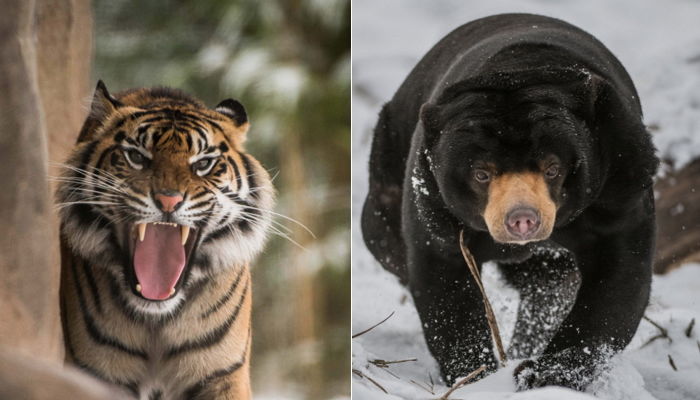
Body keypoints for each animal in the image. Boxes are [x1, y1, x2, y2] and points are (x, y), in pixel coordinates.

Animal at [56, 79, 274, 398]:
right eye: (137, 157)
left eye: (203, 163)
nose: (168, 200)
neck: (156, 316)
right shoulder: (97, 373)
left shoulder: (221, 373)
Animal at [364, 13, 660, 390]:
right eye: (481, 174)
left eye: (552, 168)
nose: (522, 219)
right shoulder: (432, 198)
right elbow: (443, 277)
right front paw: (477, 375)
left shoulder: (620, 180)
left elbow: (619, 279)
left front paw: (541, 374)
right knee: (386, 244)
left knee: (550, 285)